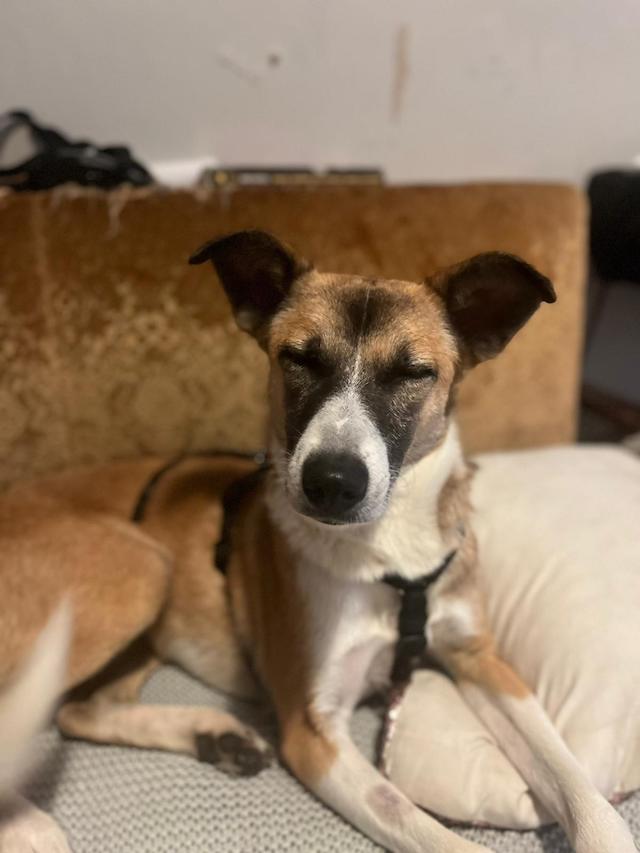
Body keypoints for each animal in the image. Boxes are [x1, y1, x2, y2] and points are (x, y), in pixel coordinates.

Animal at [0, 230, 635, 853]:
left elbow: (577, 784)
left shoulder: (480, 657)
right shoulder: (314, 731)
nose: (331, 483)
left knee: (79, 711)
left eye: (413, 373)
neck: (386, 552)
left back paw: (216, 735)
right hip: (138, 567)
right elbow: (427, 829)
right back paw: (33, 828)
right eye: (299, 358)